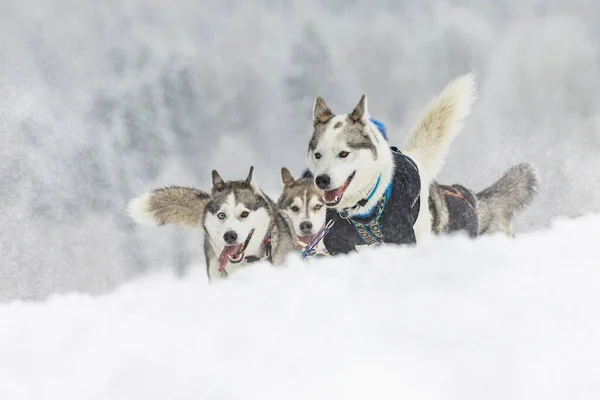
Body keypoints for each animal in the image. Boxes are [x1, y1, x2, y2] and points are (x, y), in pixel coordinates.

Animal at [308, 72, 476, 253]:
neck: (362, 205)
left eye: (343, 153)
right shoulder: (335, 239)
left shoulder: (403, 234)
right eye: (317, 155)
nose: (321, 180)